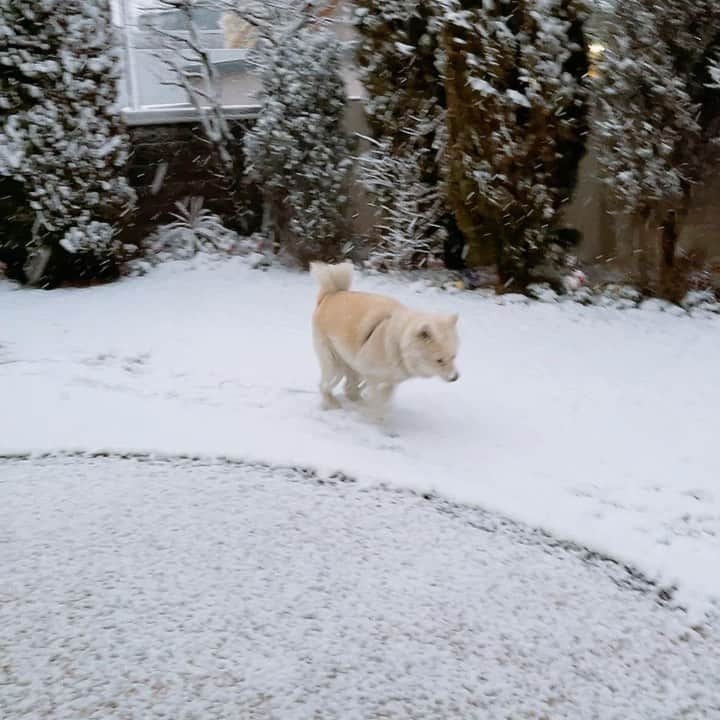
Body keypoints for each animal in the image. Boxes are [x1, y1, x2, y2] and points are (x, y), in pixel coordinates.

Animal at [310, 262, 462, 420]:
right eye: (439, 360)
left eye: (453, 356)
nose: (455, 377)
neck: (399, 341)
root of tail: (330, 295)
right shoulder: (372, 374)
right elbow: (377, 398)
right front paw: (375, 417)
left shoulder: (390, 379)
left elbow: (383, 396)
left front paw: (373, 411)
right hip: (334, 364)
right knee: (324, 385)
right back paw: (332, 403)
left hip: (351, 365)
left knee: (348, 387)